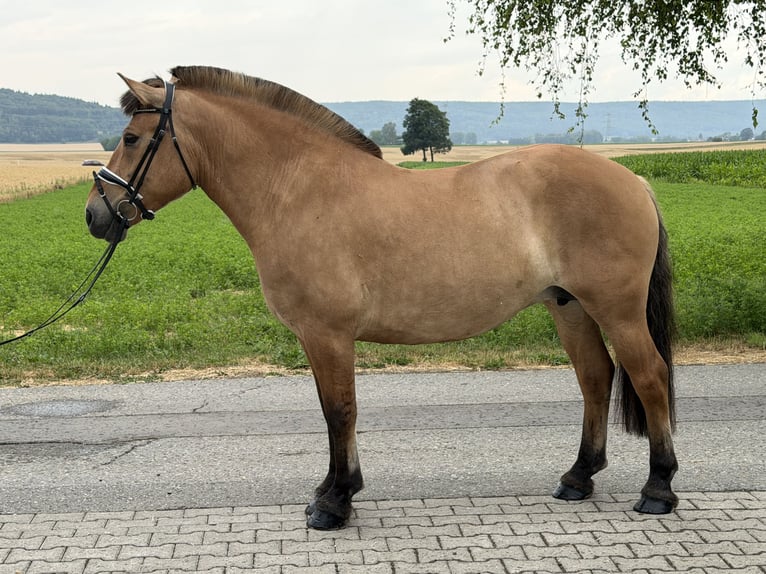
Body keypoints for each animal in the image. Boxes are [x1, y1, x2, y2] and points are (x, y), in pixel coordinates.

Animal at [85, 66, 678, 530]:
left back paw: (659, 488)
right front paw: (332, 492)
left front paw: (335, 502)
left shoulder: (328, 334)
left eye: (132, 138)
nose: (95, 215)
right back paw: (578, 478)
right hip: (569, 307)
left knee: (649, 377)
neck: (298, 190)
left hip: (617, 311)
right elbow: (332, 412)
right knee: (596, 378)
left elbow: (339, 410)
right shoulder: (318, 338)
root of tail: (634, 180)